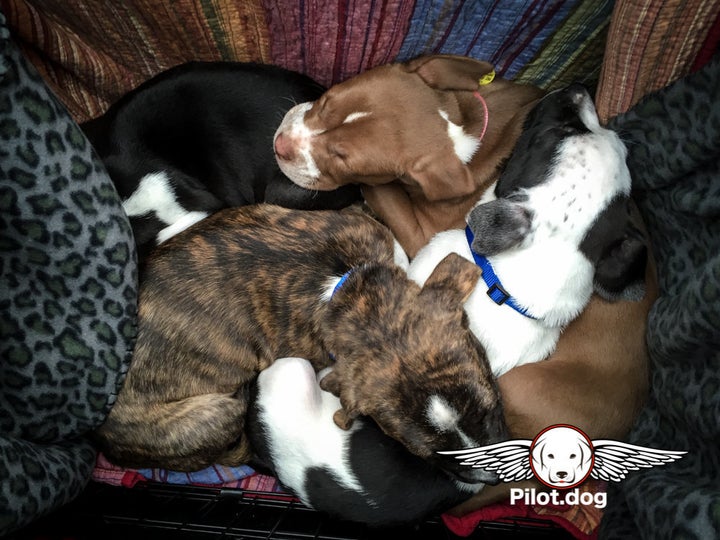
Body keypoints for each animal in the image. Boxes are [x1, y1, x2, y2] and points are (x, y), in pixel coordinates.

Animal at [93, 204, 504, 480]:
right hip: (213, 414)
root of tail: (103, 441)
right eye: (429, 454)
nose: (491, 478)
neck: (351, 290)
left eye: (492, 409)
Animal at [272, 54, 544, 258]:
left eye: (342, 161)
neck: (465, 128)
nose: (280, 145)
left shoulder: (420, 236)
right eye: (325, 101)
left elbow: (383, 190)